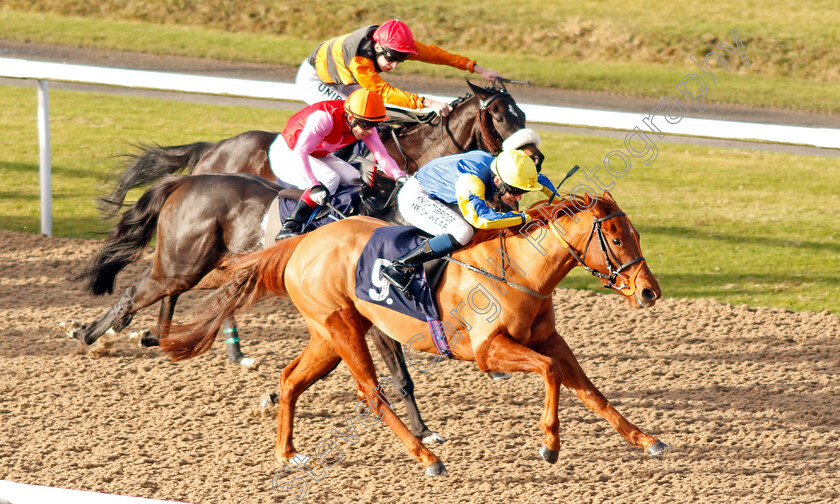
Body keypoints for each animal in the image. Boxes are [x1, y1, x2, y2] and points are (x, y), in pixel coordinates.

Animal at [162, 191, 668, 474]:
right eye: (616, 238)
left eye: (637, 234)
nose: (649, 291)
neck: (520, 269)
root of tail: (303, 241)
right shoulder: (488, 350)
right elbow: (550, 373)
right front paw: (549, 444)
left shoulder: (548, 339)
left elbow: (589, 390)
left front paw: (646, 439)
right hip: (343, 329)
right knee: (370, 391)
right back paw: (427, 458)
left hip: (327, 336)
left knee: (290, 380)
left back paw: (289, 454)